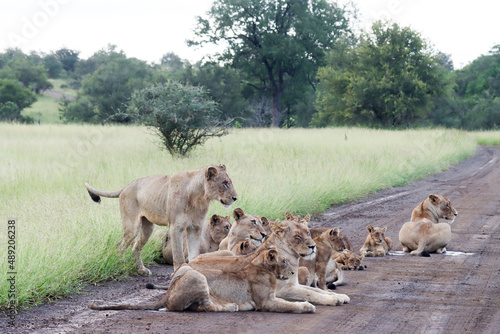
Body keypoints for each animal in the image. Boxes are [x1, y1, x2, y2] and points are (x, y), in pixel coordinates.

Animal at [85, 164, 237, 274]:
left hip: (147, 228)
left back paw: (141, 270)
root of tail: (127, 186)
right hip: (132, 226)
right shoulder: (175, 227)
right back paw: (122, 267)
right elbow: (178, 255)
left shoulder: (196, 227)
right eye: (225, 183)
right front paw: (179, 273)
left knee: (135, 247)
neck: (199, 197)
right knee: (120, 246)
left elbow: (194, 254)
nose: (235, 198)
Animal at [91, 249, 314, 314]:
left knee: (199, 306)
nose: (293, 271)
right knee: (206, 307)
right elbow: (290, 305)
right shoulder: (265, 302)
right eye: (284, 261)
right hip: (197, 276)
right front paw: (307, 306)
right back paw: (231, 306)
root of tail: (166, 294)